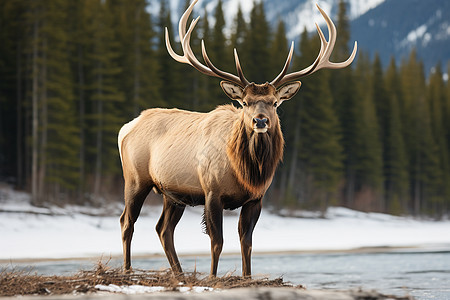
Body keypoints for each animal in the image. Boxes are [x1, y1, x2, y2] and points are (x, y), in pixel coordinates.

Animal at [118, 0, 356, 276]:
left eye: (275, 102)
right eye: (245, 102)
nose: (260, 121)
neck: (246, 172)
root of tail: (126, 127)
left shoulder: (255, 199)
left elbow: (247, 243)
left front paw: (247, 276)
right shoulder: (212, 192)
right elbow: (217, 242)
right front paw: (212, 277)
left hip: (173, 193)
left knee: (163, 229)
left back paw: (178, 273)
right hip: (136, 179)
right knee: (127, 221)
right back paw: (127, 269)